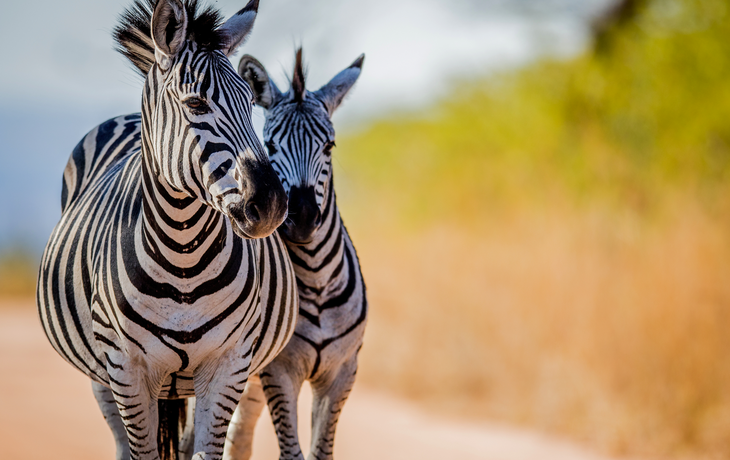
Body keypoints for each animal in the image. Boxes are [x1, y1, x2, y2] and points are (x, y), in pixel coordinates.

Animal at [36, 1, 299, 459]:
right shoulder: (126, 368)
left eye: (251, 102)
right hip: (100, 375)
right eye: (195, 103)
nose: (270, 206)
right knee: (121, 441)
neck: (183, 258)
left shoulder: (229, 365)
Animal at [222, 49, 368, 460]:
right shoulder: (279, 372)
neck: (316, 281)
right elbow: (292, 452)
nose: (301, 219)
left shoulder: (342, 372)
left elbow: (322, 452)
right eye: (270, 146)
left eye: (329, 146)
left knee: (236, 439)